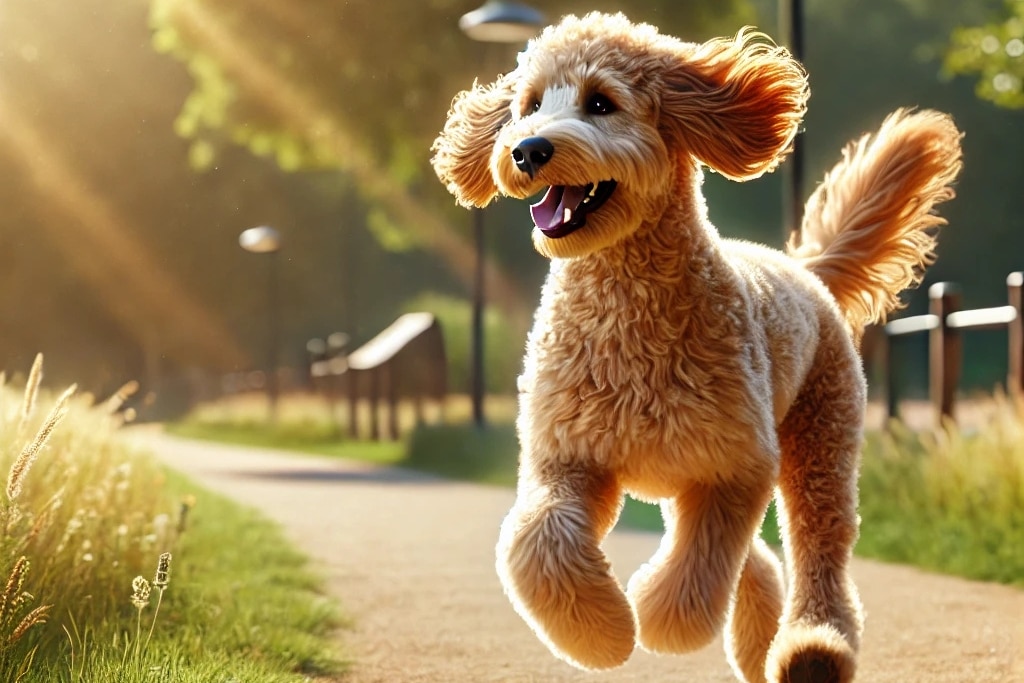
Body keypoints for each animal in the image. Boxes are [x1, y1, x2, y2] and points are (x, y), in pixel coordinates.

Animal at [430, 10, 958, 683]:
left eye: (600, 102)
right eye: (529, 105)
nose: (527, 149)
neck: (623, 311)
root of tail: (804, 270)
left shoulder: (733, 465)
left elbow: (701, 563)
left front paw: (659, 622)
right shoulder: (565, 456)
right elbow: (537, 541)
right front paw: (600, 635)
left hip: (820, 443)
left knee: (818, 549)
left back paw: (812, 649)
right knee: (759, 560)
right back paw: (759, 646)